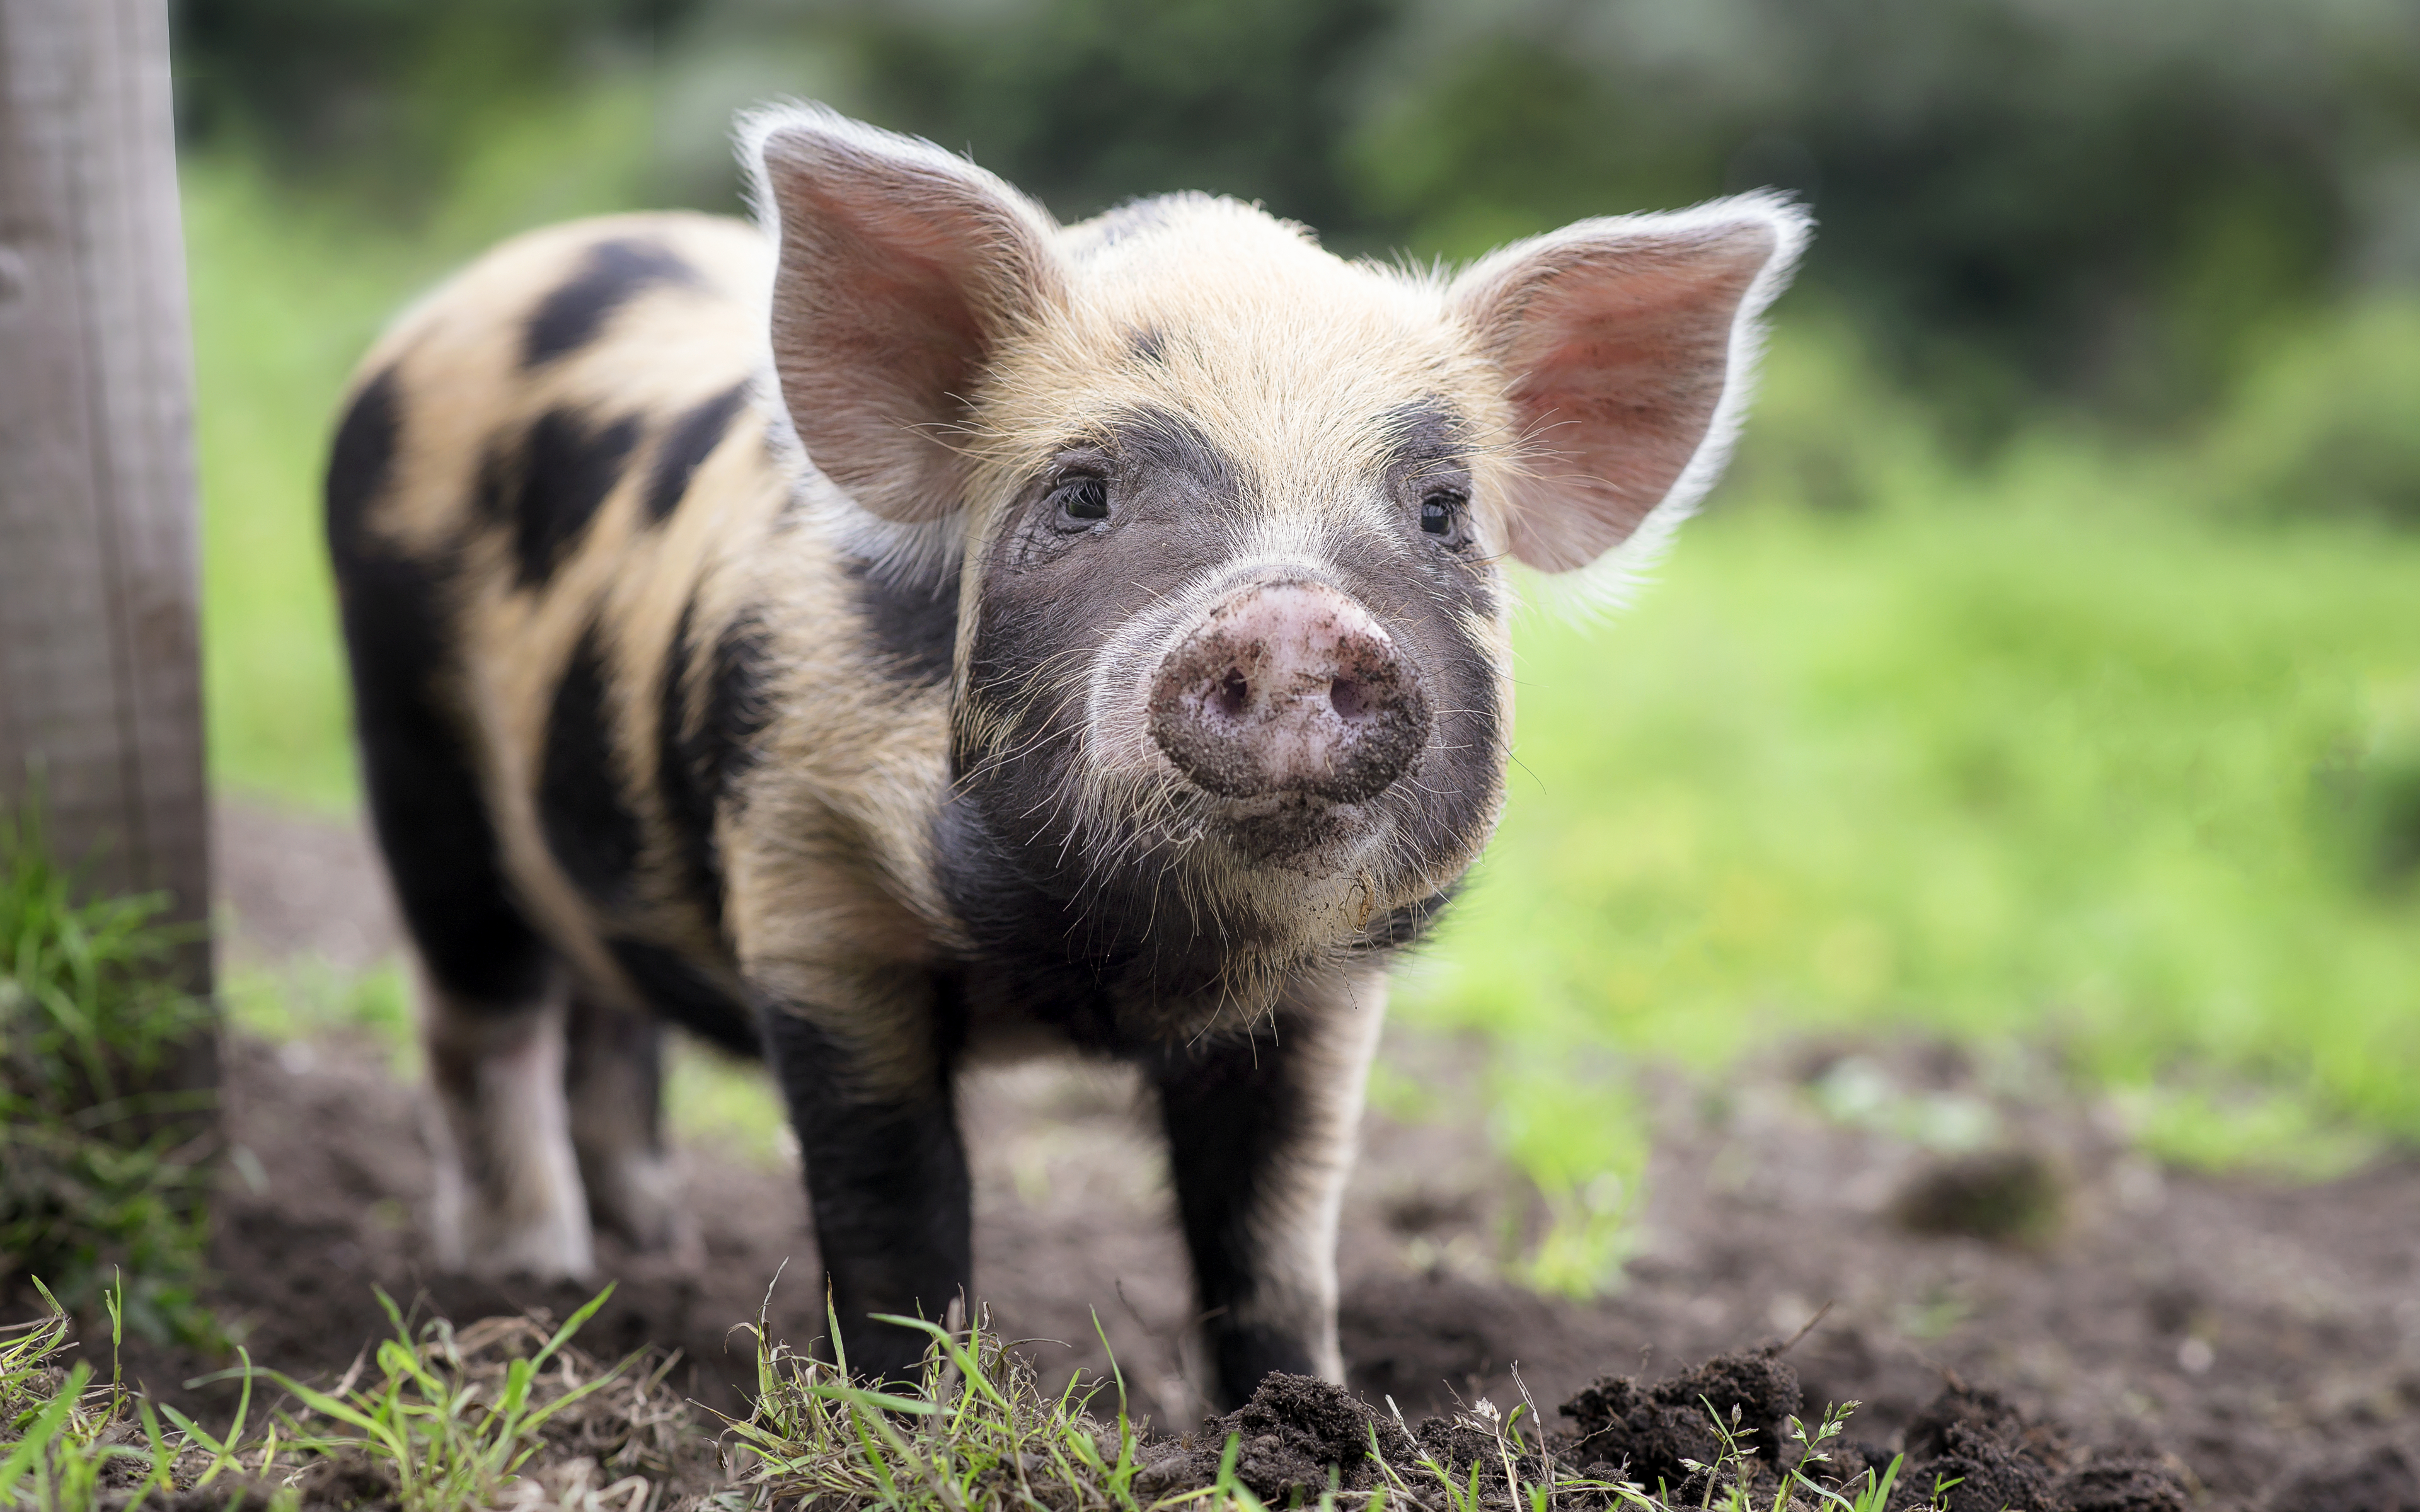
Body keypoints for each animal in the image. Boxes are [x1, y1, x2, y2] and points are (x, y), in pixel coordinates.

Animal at [323, 102, 1805, 1408]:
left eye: (1442, 513)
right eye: (1083, 495)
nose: (1290, 610)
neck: (1109, 968)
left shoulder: (1327, 997)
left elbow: (1274, 1239)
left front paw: (1309, 1426)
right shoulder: (810, 890)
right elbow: (895, 1217)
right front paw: (907, 1420)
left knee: (607, 1020)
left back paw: (651, 1255)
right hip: (412, 752)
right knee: (482, 1024)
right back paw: (527, 1288)